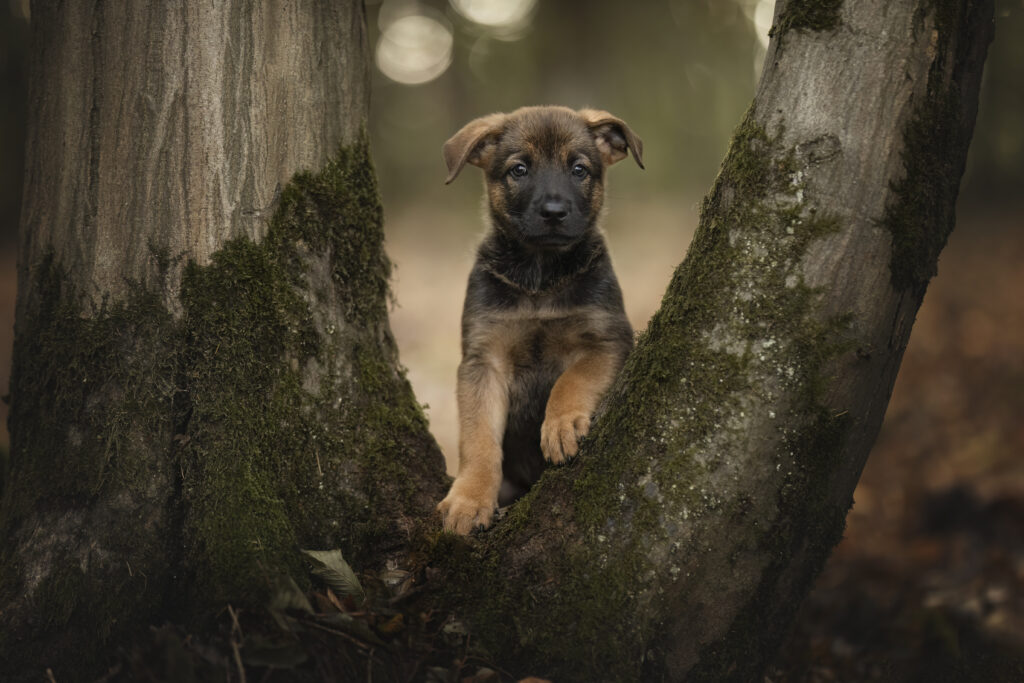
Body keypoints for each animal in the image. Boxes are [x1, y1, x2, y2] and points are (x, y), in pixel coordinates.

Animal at [436, 105, 643, 532]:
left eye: (579, 169)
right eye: (519, 170)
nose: (553, 213)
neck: (540, 277)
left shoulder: (608, 340)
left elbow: (571, 379)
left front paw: (560, 426)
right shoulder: (483, 361)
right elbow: (478, 439)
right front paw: (468, 500)